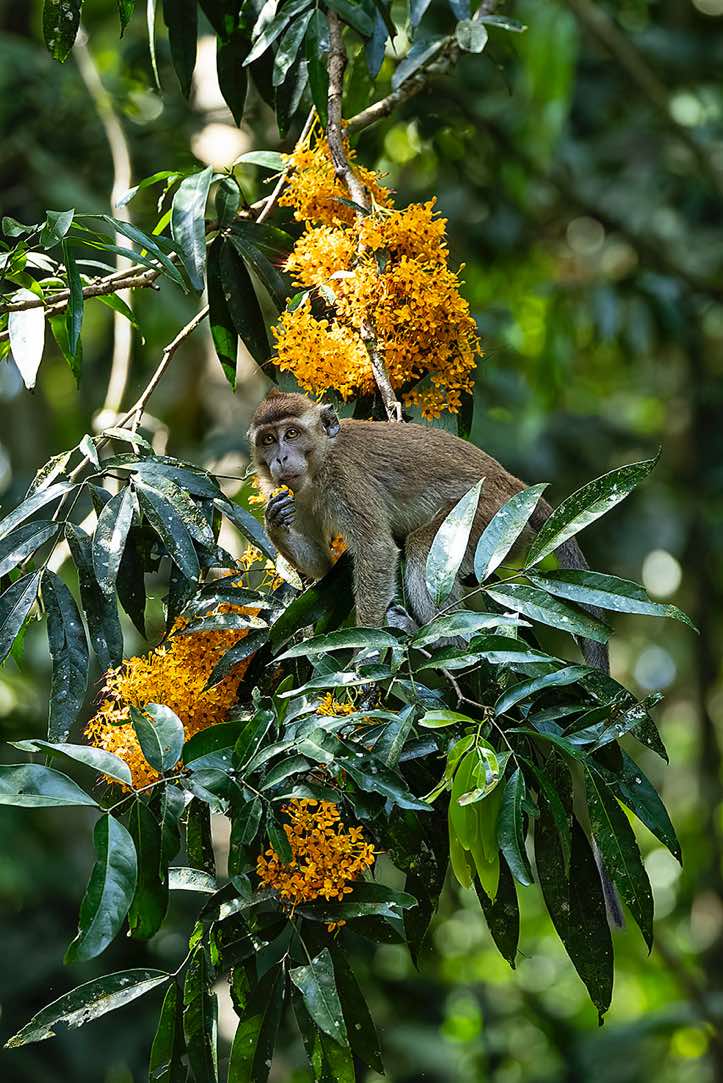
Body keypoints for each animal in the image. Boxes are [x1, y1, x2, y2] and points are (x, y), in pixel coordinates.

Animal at [249, 389, 608, 672]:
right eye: (268, 440)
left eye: (291, 434)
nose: (280, 458)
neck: (320, 461)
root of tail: (511, 483)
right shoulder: (299, 495)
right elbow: (323, 566)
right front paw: (275, 522)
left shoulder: (345, 478)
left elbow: (377, 550)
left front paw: (365, 654)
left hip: (491, 515)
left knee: (423, 548)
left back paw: (449, 643)